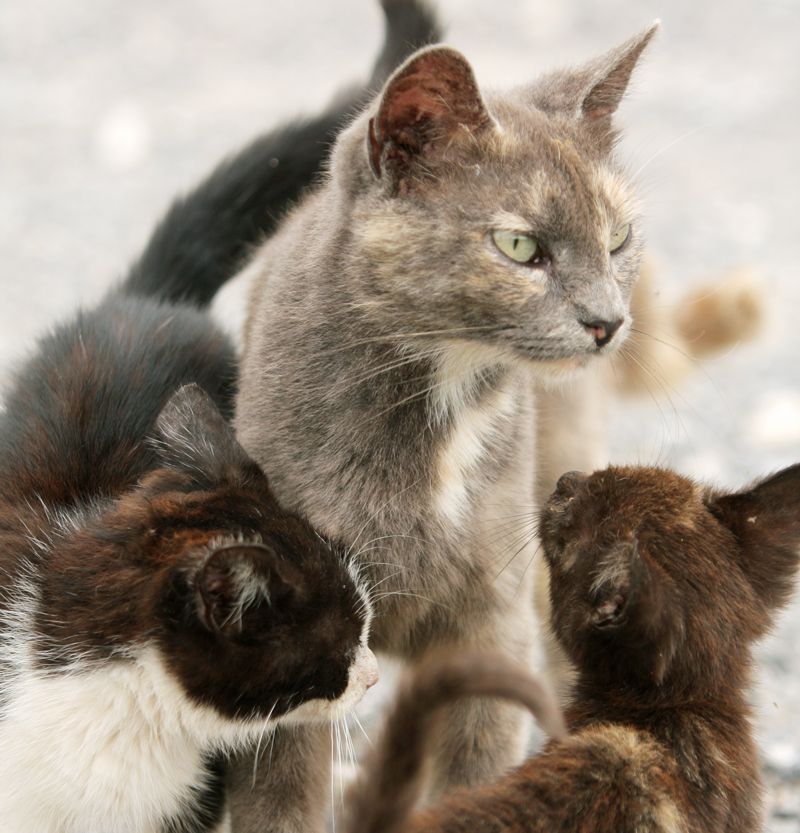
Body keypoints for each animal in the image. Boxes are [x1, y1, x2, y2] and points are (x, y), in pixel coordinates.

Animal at [228, 22, 660, 828]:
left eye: (617, 239)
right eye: (519, 245)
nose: (607, 320)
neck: (442, 413)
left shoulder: (495, 613)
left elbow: (475, 761)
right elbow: (280, 795)